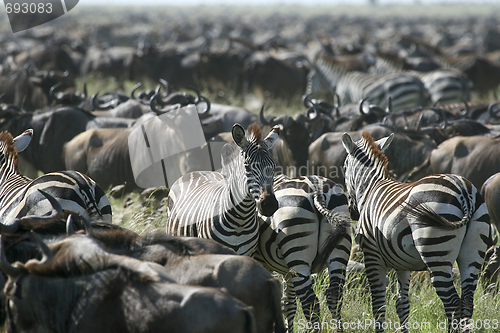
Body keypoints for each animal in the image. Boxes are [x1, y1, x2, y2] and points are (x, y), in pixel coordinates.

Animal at [254, 175, 352, 330]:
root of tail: (316, 187)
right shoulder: (287, 272)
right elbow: (288, 304)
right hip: (340, 250)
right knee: (334, 296)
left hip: (298, 255)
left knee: (310, 302)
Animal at [342, 130, 490, 332]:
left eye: (344, 167)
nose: (353, 212)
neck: (371, 188)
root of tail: (464, 191)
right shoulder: (402, 263)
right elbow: (401, 303)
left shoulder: (372, 256)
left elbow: (378, 305)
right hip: (473, 252)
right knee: (467, 301)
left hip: (436, 251)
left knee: (452, 302)